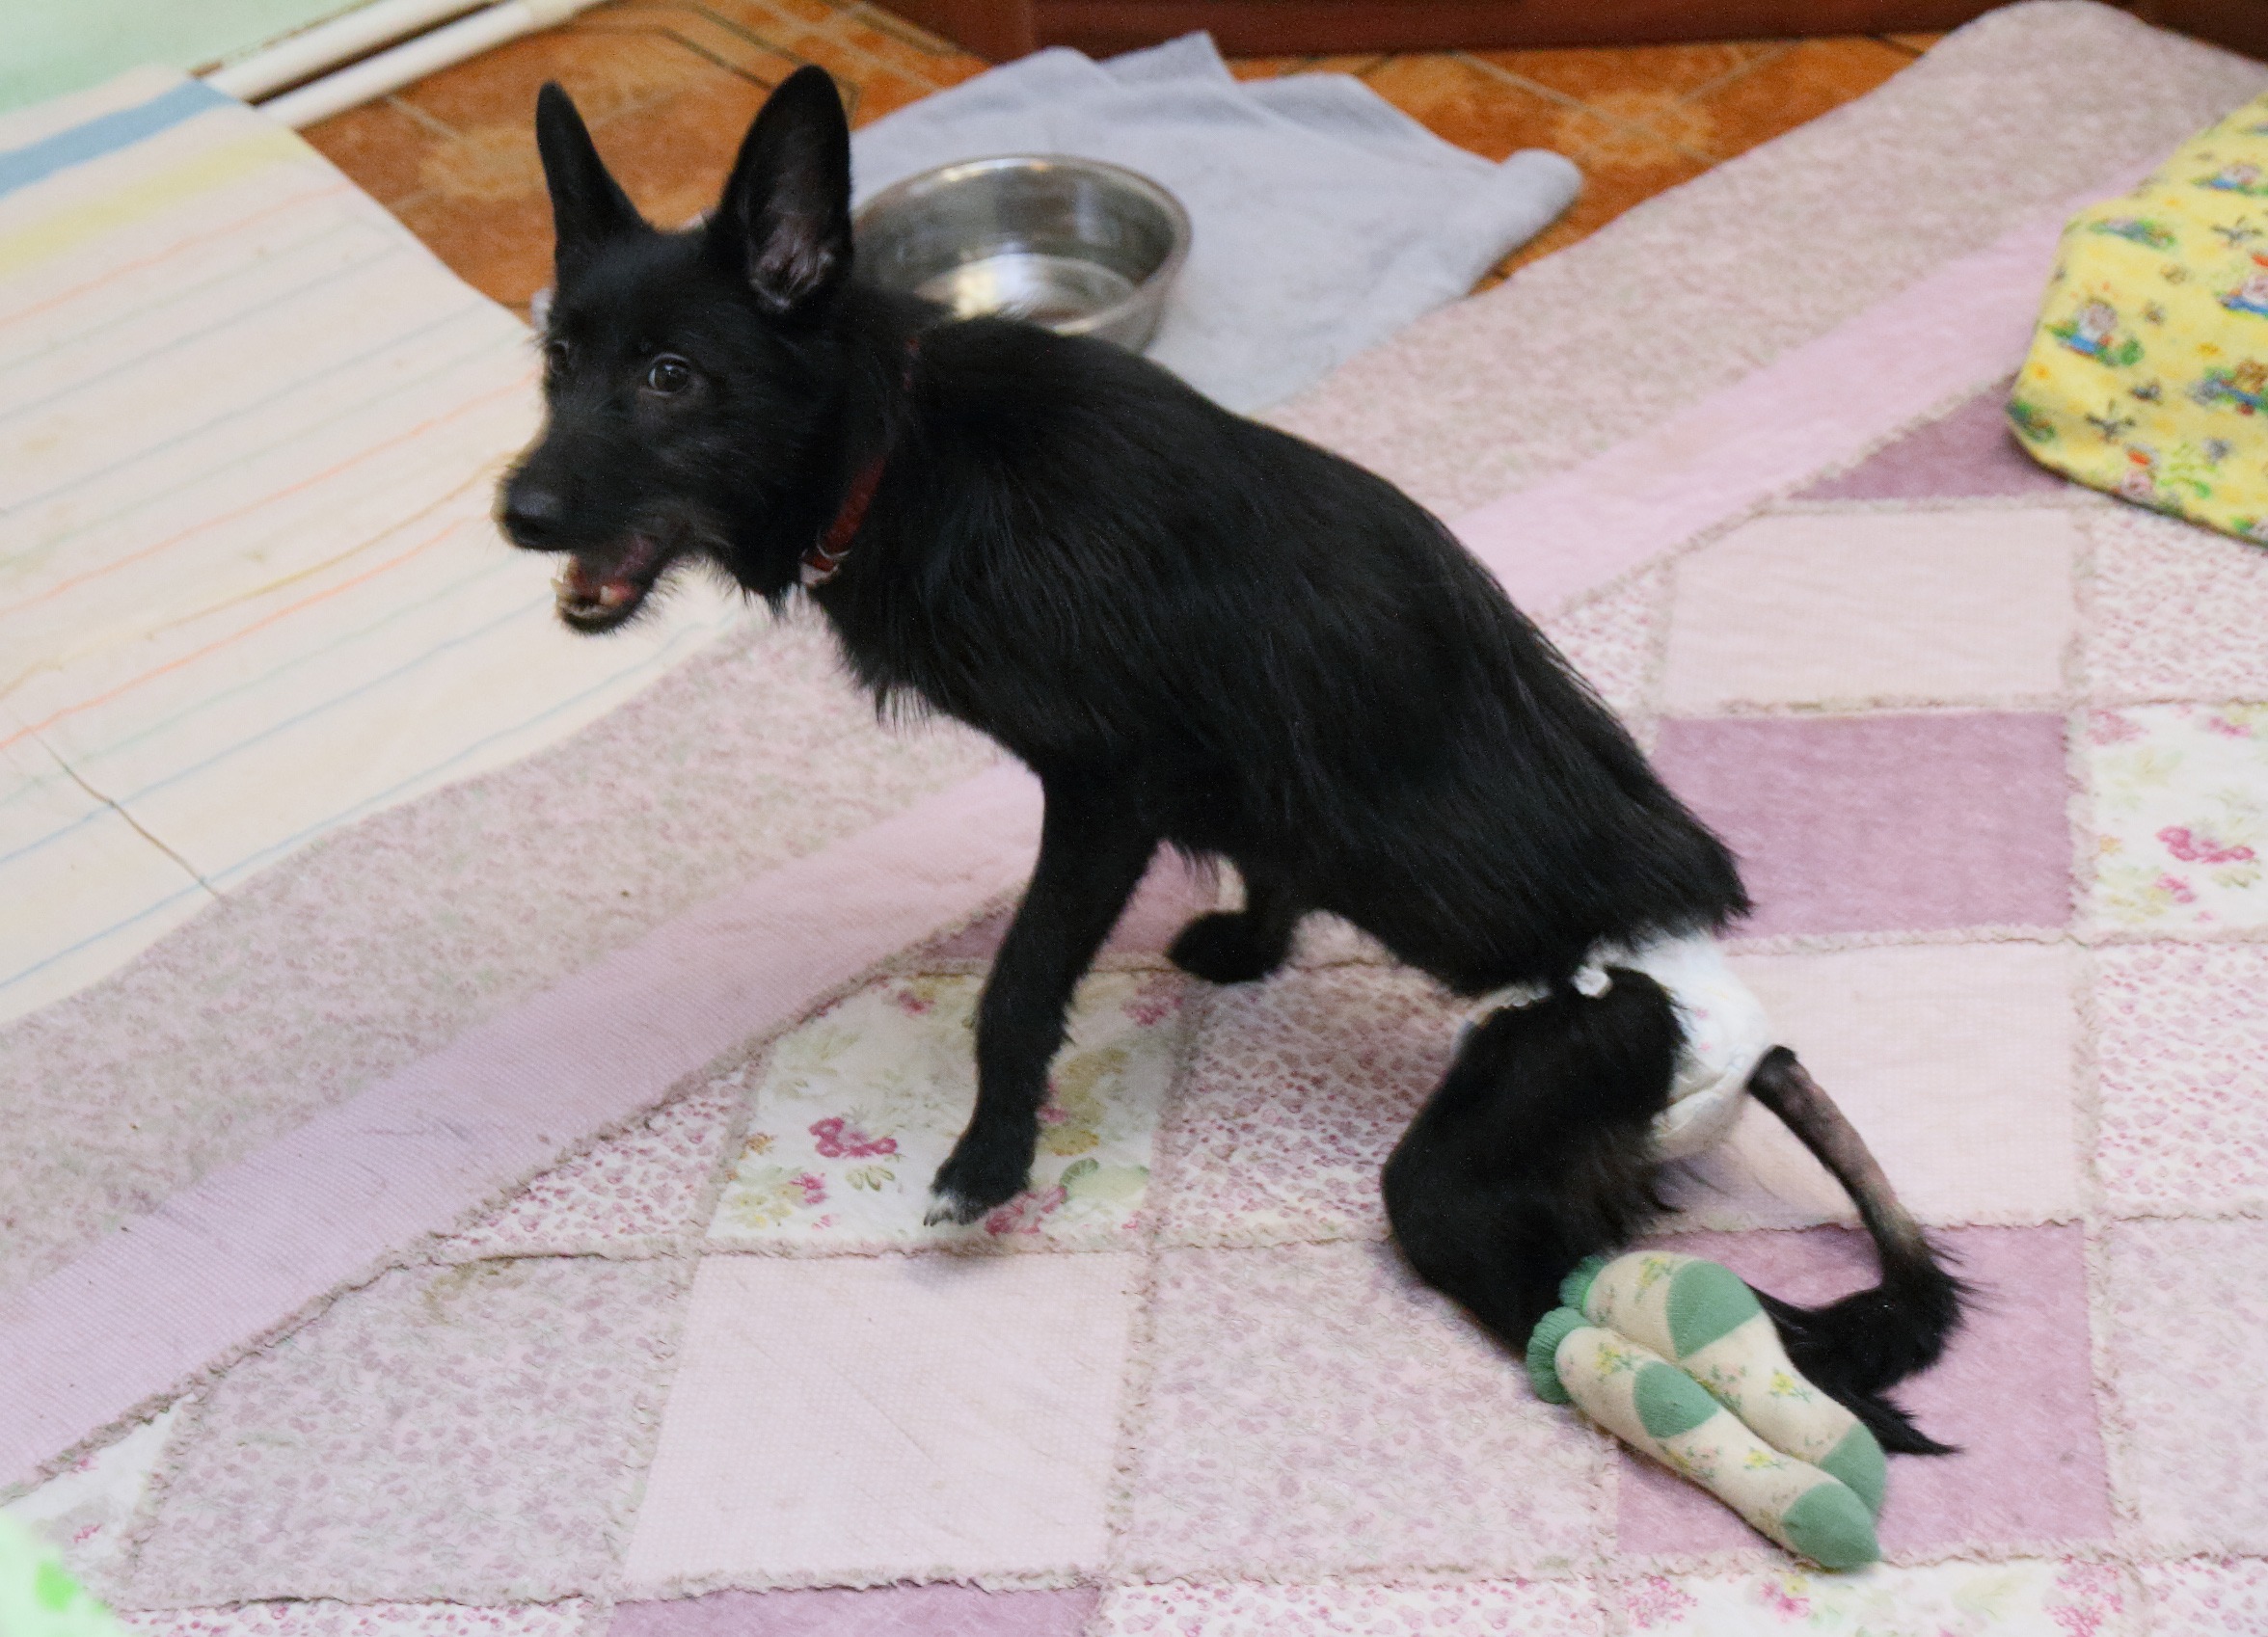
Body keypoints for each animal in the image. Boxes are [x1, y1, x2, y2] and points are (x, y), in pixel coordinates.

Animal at [499, 66, 1963, 1450]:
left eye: (671, 376)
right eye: (555, 361)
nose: (515, 511)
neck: (898, 439)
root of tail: (1727, 1023)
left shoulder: (1102, 787)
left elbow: (1017, 986)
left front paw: (986, 1163)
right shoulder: (1230, 787)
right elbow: (1271, 857)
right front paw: (1248, 946)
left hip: (1496, 1133)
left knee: (1655, 1303)